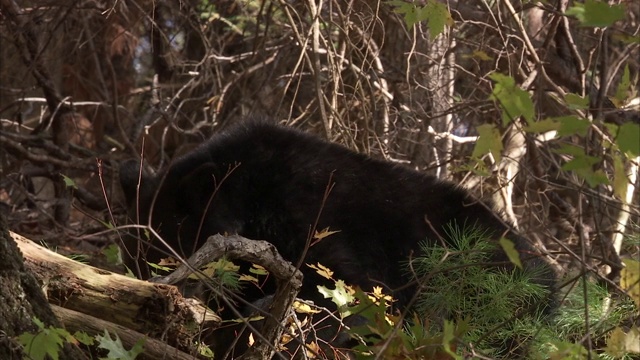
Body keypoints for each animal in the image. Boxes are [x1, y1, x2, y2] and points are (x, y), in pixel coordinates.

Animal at [119, 120, 556, 354]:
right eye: (133, 256)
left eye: (166, 251)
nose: (148, 297)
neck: (252, 192)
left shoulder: (313, 217)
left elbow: (349, 290)